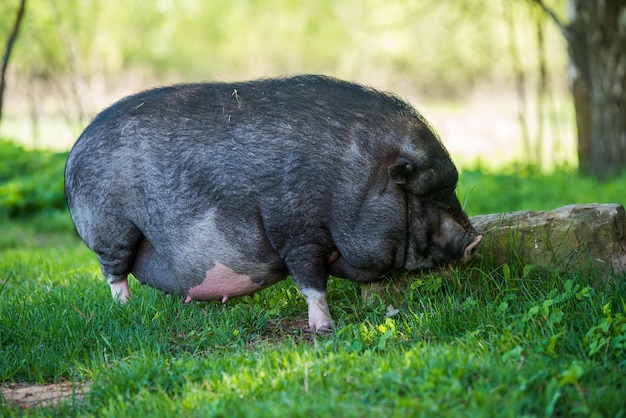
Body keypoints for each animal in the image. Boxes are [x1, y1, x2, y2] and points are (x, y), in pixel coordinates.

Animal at [64, 74, 482, 334]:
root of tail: (74, 148)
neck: (356, 181)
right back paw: (124, 310)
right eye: (424, 193)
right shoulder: (297, 233)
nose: (475, 241)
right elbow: (312, 283)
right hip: (110, 228)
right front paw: (325, 329)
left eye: (450, 188)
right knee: (114, 274)